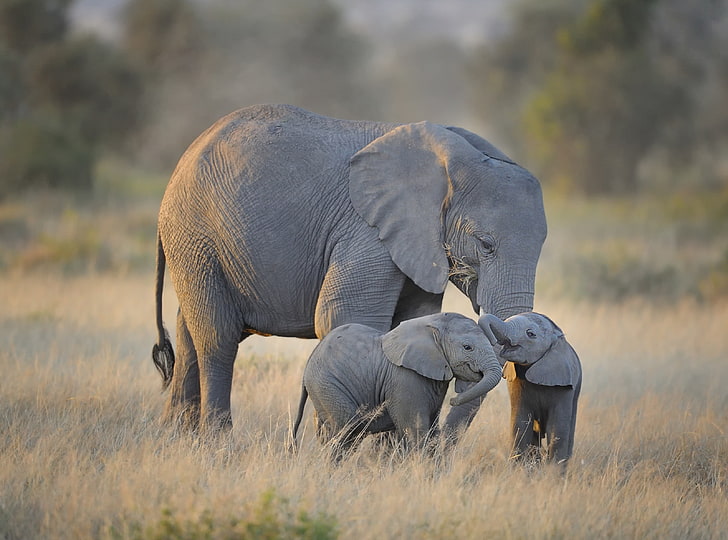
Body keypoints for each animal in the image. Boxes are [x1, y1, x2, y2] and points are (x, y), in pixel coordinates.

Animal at [151, 104, 544, 434]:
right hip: (195, 235)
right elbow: (345, 317)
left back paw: (176, 438)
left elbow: (412, 321)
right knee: (217, 338)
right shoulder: (366, 231)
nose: (441, 441)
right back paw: (217, 442)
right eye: (485, 244)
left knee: (189, 332)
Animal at [290, 312, 500, 460]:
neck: (433, 324)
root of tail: (309, 364)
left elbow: (432, 430)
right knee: (347, 432)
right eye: (467, 347)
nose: (454, 400)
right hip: (328, 386)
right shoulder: (405, 379)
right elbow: (416, 430)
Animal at [480, 312, 584, 464]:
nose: (493, 341)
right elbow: (520, 424)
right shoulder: (516, 382)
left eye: (530, 334)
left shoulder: (564, 386)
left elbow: (557, 428)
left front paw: (553, 470)